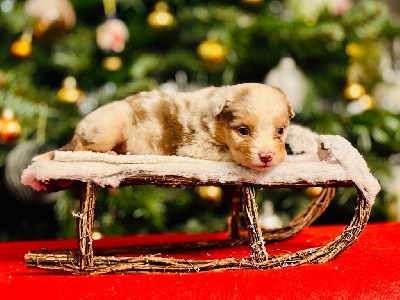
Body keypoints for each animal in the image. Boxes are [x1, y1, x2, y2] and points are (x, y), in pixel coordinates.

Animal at [34, 83, 294, 171]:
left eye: (281, 131)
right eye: (243, 131)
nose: (267, 157)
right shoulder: (195, 147)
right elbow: (228, 154)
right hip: (106, 129)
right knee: (80, 149)